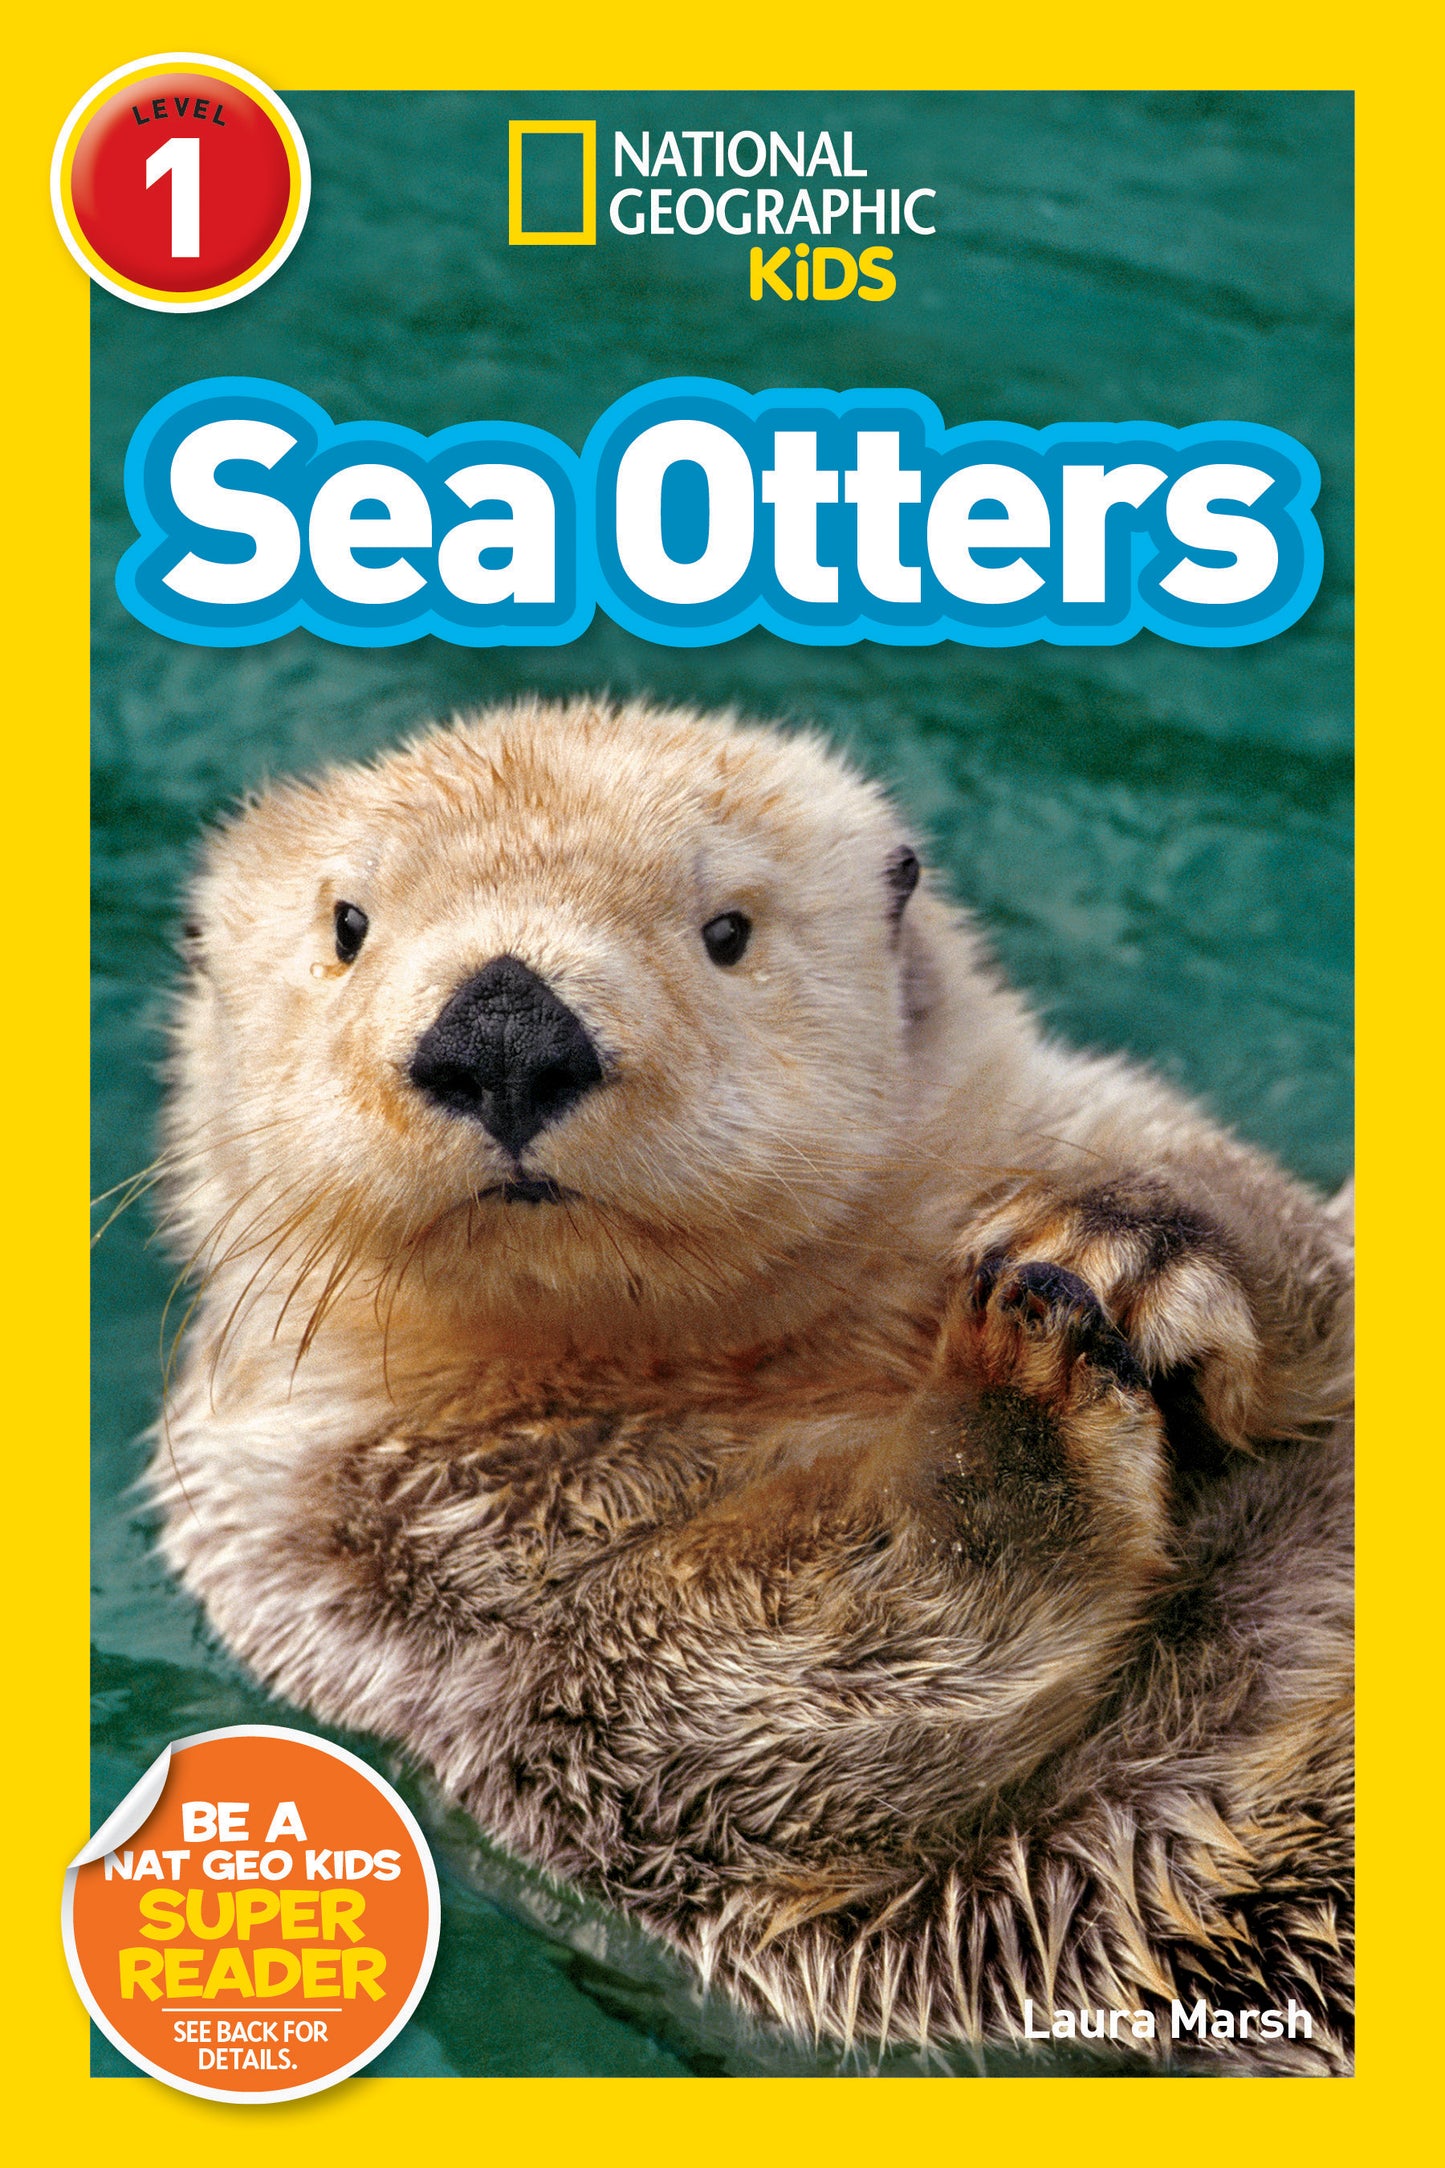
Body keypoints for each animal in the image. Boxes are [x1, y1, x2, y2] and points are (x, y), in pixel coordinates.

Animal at [150, 698, 1353, 2073]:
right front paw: (1013, 1392)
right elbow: (734, 1684)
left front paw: (1128, 1239)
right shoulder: (368, 1565)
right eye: (347, 924)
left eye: (725, 929)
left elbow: (1313, 1260)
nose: (502, 1031)